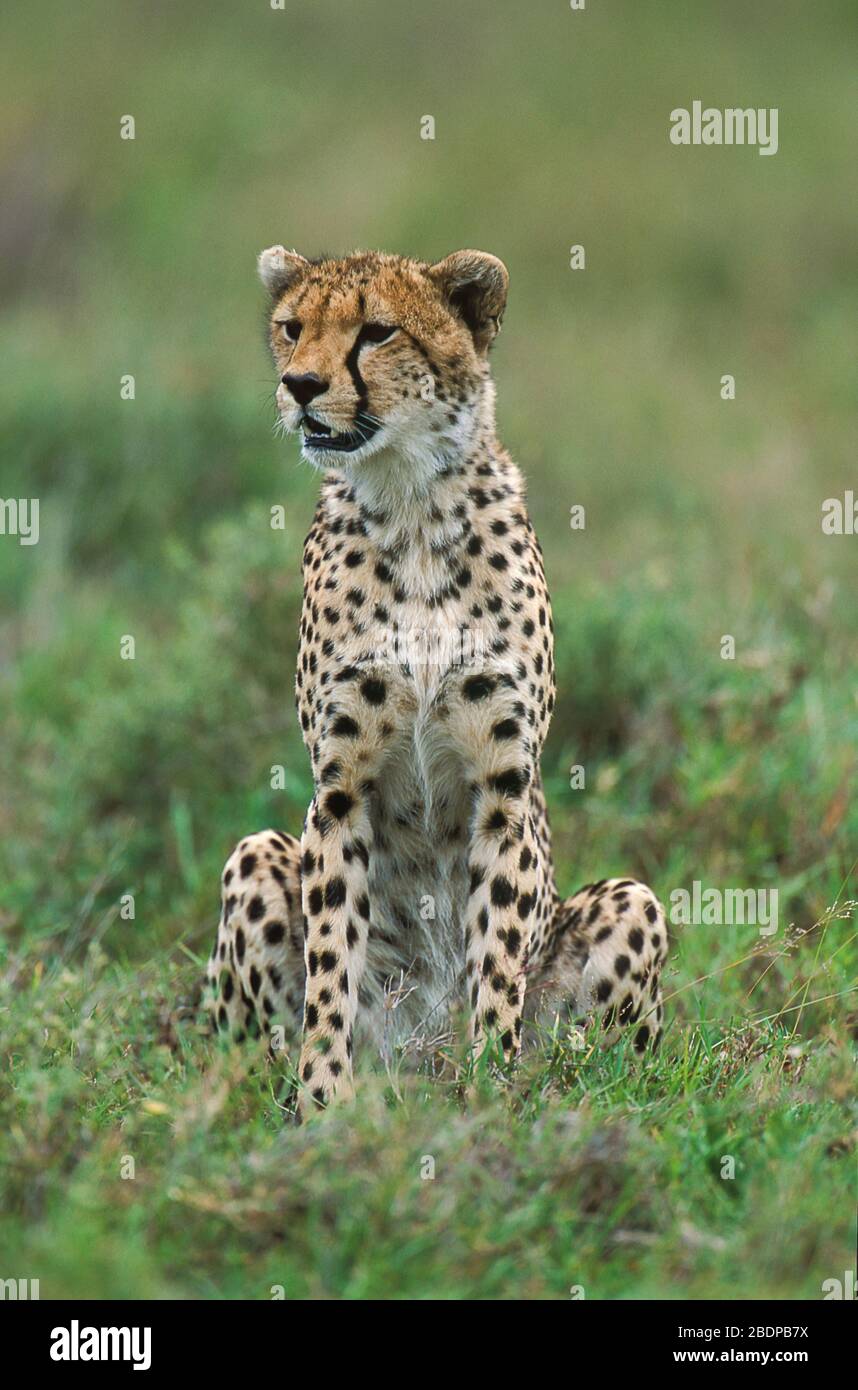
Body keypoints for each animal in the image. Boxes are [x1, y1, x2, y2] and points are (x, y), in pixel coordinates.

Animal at [205, 245, 668, 1115]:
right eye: (292, 328)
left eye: (377, 332)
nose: (300, 385)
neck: (410, 503)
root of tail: (420, 1061)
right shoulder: (340, 785)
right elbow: (331, 964)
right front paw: (323, 1106)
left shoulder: (503, 784)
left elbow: (496, 958)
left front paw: (490, 1093)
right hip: (255, 861)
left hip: (635, 907)